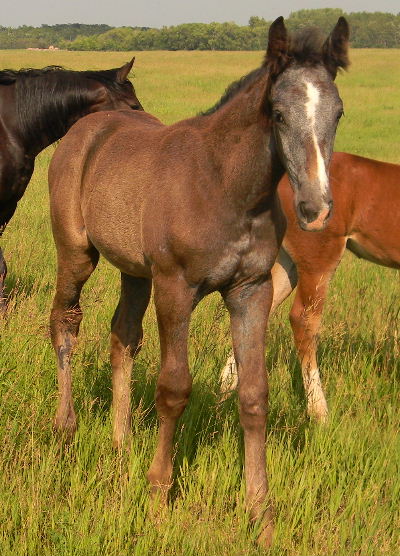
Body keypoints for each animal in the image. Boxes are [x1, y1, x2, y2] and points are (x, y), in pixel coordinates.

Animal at [48, 17, 349, 547]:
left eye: (337, 112)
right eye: (277, 113)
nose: (315, 209)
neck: (225, 187)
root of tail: (85, 128)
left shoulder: (251, 290)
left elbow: (254, 394)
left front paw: (261, 515)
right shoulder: (175, 288)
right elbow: (174, 389)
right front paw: (158, 500)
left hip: (134, 271)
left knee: (122, 337)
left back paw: (121, 444)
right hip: (77, 253)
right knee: (65, 320)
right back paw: (66, 428)